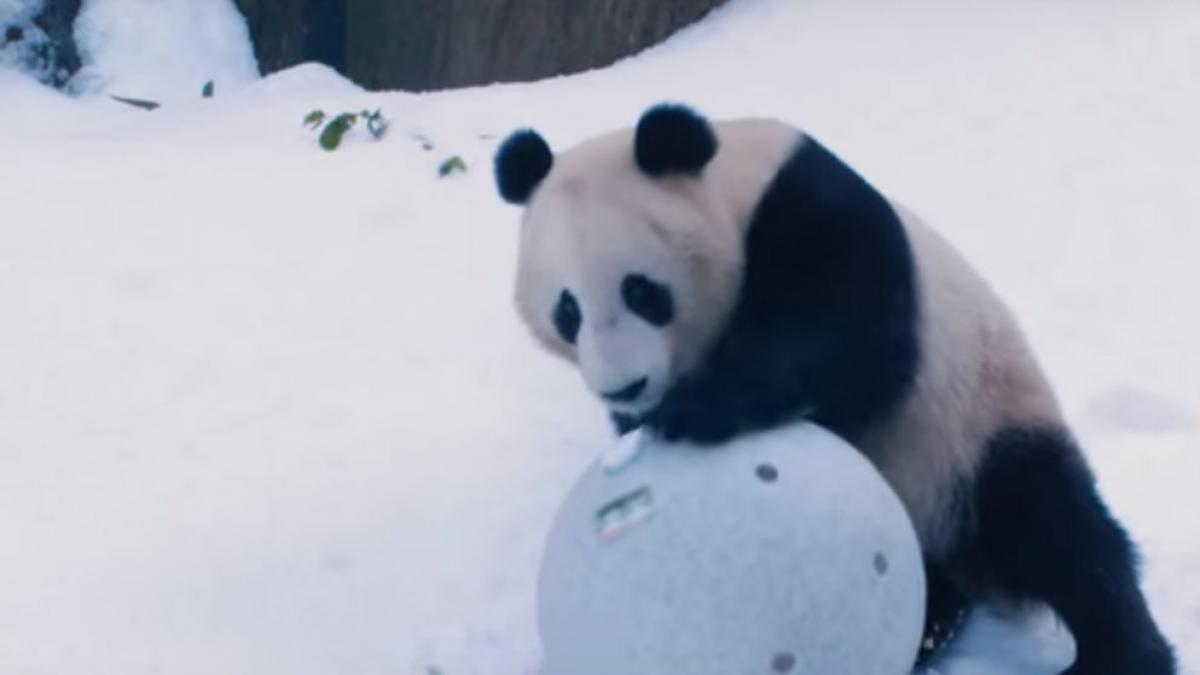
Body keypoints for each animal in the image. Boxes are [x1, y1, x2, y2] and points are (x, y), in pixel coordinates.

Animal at [493, 103, 1175, 674]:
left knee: (1054, 527)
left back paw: (1121, 654)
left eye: (642, 291)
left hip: (978, 421)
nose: (625, 386)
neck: (734, 187)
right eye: (567, 310)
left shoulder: (815, 215)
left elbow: (845, 343)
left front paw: (698, 411)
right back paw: (932, 623)